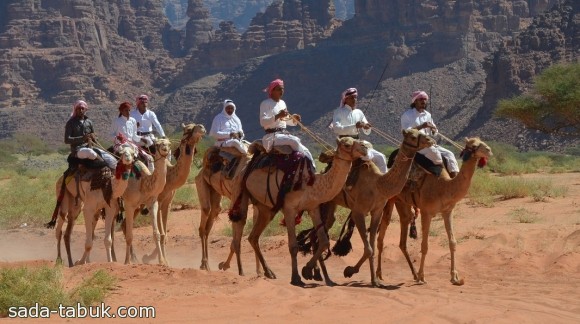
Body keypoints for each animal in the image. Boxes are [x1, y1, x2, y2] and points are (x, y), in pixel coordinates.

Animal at [142, 123, 206, 264]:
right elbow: (161, 233)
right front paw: (156, 259)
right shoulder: (158, 201)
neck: (170, 177)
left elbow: (165, 234)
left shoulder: (168, 203)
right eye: (188, 129)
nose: (202, 127)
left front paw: (159, 259)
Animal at [234, 137, 368, 286]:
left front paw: (307, 271)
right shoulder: (289, 208)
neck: (313, 184)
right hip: (246, 195)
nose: (365, 147)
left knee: (253, 237)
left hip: (266, 208)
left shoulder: (313, 207)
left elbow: (324, 241)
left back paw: (269, 272)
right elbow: (293, 246)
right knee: (244, 229)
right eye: (347, 144)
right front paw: (296, 278)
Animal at [320, 128, 438, 286]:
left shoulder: (377, 211)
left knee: (326, 224)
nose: (431, 140)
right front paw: (350, 271)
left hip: (332, 203)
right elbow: (369, 248)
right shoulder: (359, 211)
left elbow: (372, 246)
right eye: (413, 136)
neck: (379, 184)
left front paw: (373, 279)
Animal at [376, 138, 494, 284]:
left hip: (401, 202)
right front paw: (422, 276)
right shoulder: (426, 212)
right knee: (383, 230)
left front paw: (455, 277)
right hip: (389, 198)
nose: (489, 150)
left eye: (481, 141)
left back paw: (412, 274)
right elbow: (424, 245)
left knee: (404, 229)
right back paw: (379, 275)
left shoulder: (447, 211)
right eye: (474, 145)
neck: (443, 185)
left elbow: (452, 242)